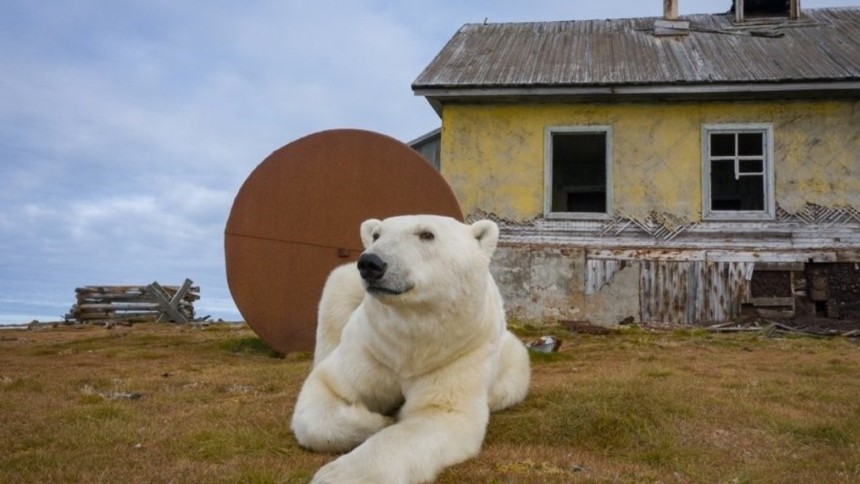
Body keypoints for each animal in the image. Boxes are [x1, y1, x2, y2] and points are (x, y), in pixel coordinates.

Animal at [291, 214, 531, 483]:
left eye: (427, 234)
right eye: (376, 234)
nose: (370, 263)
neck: (410, 341)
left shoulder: (458, 353)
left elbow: (439, 413)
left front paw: (342, 474)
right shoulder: (372, 346)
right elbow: (327, 389)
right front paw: (378, 421)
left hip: (512, 361)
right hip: (345, 289)